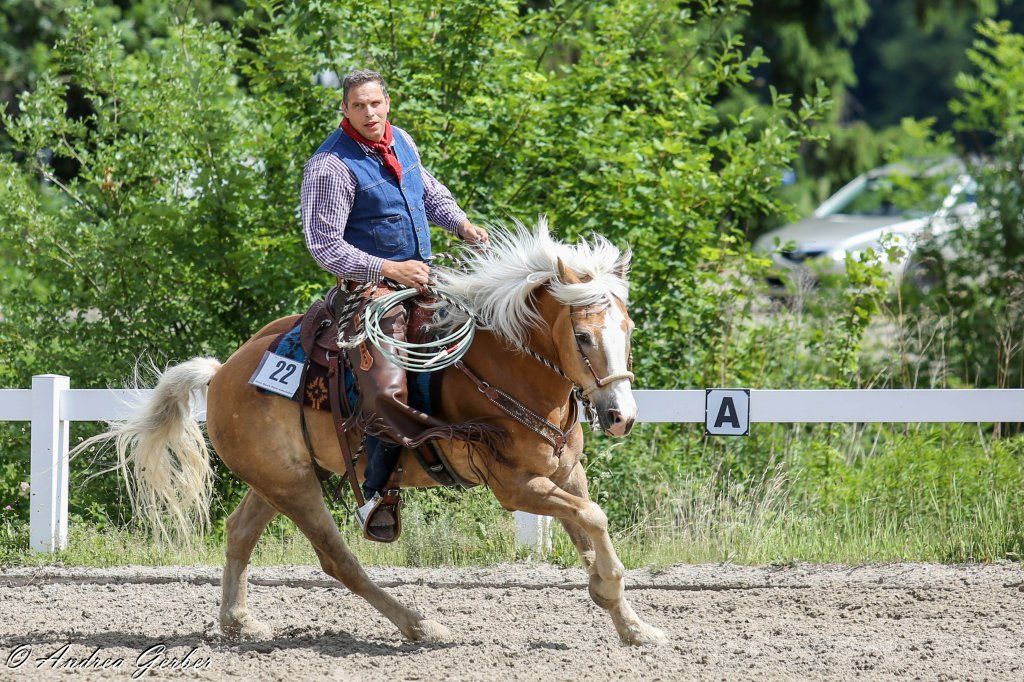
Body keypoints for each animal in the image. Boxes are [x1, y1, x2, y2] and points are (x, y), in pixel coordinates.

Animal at [80, 219, 667, 647]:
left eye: (628, 329)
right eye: (584, 337)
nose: (620, 415)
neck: (504, 369)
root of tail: (222, 373)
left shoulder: (565, 475)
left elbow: (590, 527)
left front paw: (633, 625)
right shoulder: (517, 488)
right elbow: (596, 518)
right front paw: (614, 599)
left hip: (275, 481)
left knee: (239, 532)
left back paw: (238, 623)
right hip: (296, 489)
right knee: (337, 560)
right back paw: (420, 625)